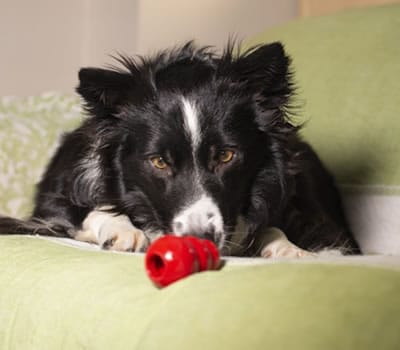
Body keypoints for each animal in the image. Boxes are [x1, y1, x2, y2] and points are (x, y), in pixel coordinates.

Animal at [0, 41, 360, 258]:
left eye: (226, 155)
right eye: (159, 162)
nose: (200, 240)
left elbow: (276, 225)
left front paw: (289, 249)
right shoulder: (53, 201)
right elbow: (89, 210)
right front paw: (123, 230)